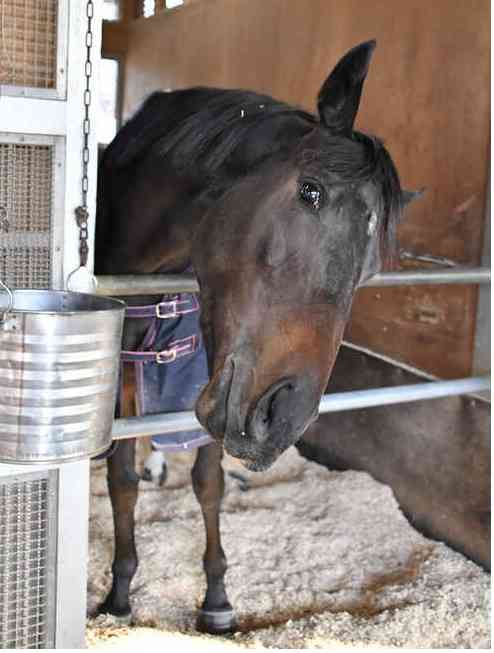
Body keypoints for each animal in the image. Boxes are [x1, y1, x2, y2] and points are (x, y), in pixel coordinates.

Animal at [94, 40, 419, 634]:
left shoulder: (210, 364)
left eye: (369, 271)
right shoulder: (131, 362)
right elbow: (121, 477)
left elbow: (208, 480)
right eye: (310, 192)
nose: (282, 418)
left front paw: (217, 596)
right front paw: (120, 591)